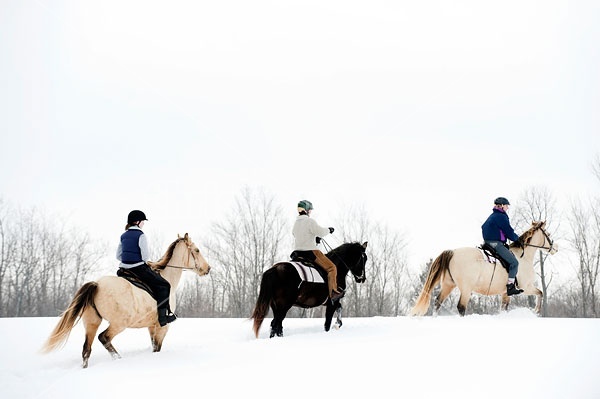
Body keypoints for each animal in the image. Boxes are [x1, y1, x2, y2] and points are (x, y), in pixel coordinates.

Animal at [42, 234, 211, 368]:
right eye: (197, 250)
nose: (208, 268)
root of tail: (97, 284)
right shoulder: (162, 327)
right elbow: (157, 347)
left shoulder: (151, 326)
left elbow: (153, 346)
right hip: (118, 324)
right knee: (104, 338)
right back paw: (118, 359)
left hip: (91, 323)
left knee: (86, 350)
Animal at [412, 220, 556, 318]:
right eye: (548, 234)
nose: (555, 248)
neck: (523, 257)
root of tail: (452, 252)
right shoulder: (526, 287)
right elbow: (540, 293)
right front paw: (536, 311)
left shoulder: (505, 293)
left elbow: (504, 308)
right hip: (466, 289)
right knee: (461, 307)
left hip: (448, 285)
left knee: (437, 302)